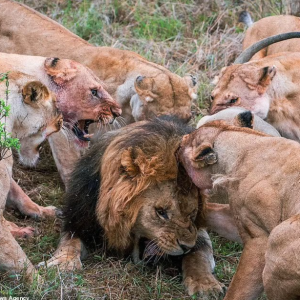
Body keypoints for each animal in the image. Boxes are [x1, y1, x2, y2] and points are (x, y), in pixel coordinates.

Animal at [0, 71, 61, 280]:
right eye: (57, 106)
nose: (62, 122)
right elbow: (16, 256)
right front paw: (39, 282)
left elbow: (20, 194)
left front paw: (46, 211)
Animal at [39, 117, 226, 298]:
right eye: (161, 212)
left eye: (193, 213)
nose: (186, 246)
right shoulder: (78, 218)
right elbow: (69, 241)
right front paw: (62, 263)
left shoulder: (198, 232)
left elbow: (198, 254)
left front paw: (205, 284)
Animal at [179, 118, 300, 300]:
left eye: (183, 143)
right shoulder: (237, 219)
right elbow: (210, 213)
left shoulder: (259, 238)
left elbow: (239, 289)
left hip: (278, 242)